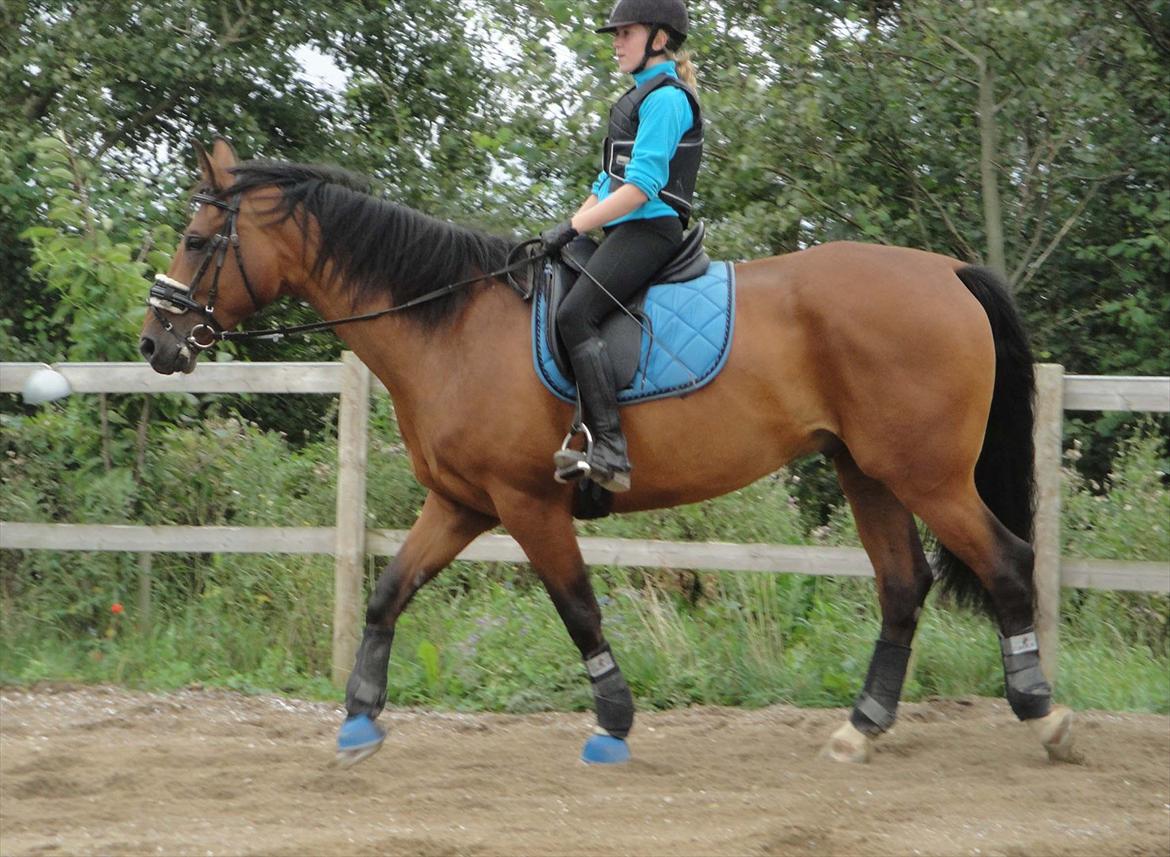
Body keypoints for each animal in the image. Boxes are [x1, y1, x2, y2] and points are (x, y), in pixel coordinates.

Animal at [136, 140, 1076, 768]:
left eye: (198, 239)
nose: (155, 342)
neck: (449, 326)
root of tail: (948, 271)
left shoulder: (528, 504)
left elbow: (578, 608)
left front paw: (613, 722)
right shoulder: (462, 503)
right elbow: (387, 591)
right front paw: (360, 718)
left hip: (927, 474)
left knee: (1005, 561)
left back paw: (1041, 711)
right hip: (866, 470)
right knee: (902, 584)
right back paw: (863, 724)